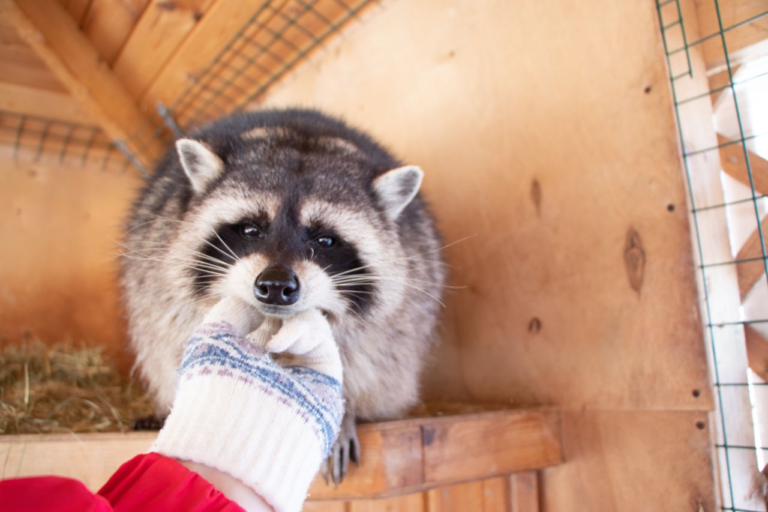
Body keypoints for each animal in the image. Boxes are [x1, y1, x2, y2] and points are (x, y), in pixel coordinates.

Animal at [120, 109, 445, 481]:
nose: (275, 285)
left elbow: (371, 358)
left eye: (325, 240)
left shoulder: (399, 320)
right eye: (251, 229)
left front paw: (345, 410)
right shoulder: (160, 290)